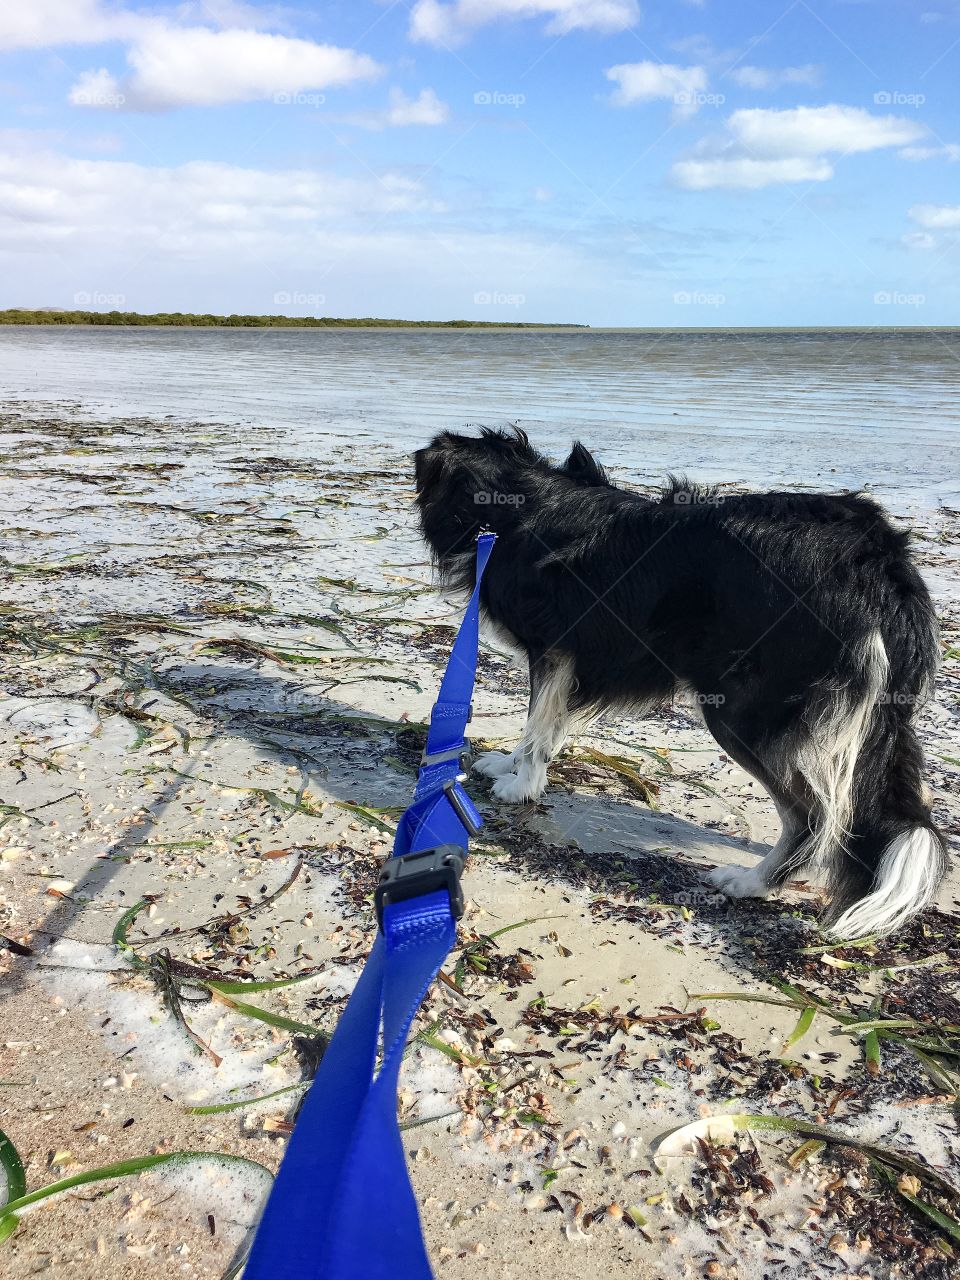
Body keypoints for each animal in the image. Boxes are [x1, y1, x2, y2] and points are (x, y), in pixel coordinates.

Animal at [414, 430, 947, 942]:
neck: (515, 502)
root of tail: (878, 564)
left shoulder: (554, 650)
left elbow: (537, 723)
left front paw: (521, 784)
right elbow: (540, 725)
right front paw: (508, 763)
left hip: (742, 711)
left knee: (811, 817)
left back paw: (753, 882)